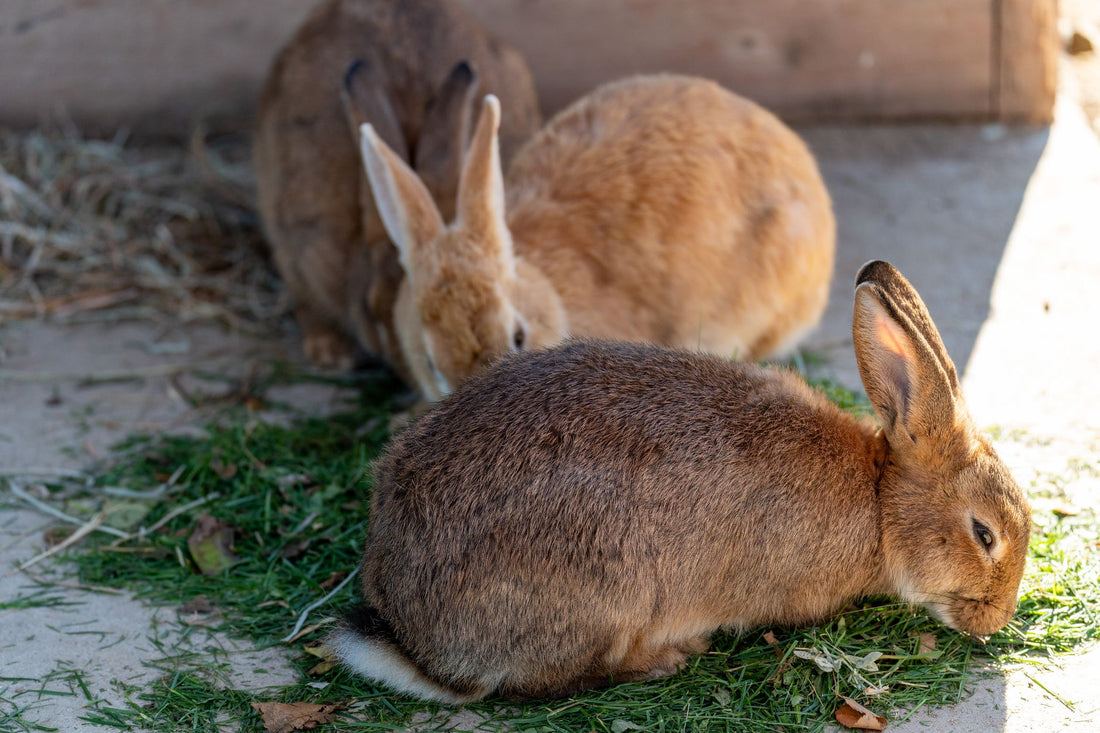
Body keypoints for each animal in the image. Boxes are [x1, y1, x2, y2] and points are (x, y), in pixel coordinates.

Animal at [328, 260, 1032, 702]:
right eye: (983, 534)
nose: (996, 620)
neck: (880, 502)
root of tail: (413, 638)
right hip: (606, 593)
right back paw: (667, 657)